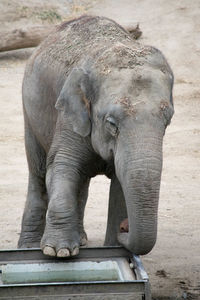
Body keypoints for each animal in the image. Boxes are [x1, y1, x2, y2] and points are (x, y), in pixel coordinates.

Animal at [18, 15, 173, 256]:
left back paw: (80, 240)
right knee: (38, 173)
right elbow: (62, 166)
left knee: (80, 181)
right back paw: (28, 246)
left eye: (168, 121)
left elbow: (120, 185)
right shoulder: (69, 115)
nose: (125, 229)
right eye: (111, 123)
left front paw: (114, 249)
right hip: (30, 111)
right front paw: (58, 251)